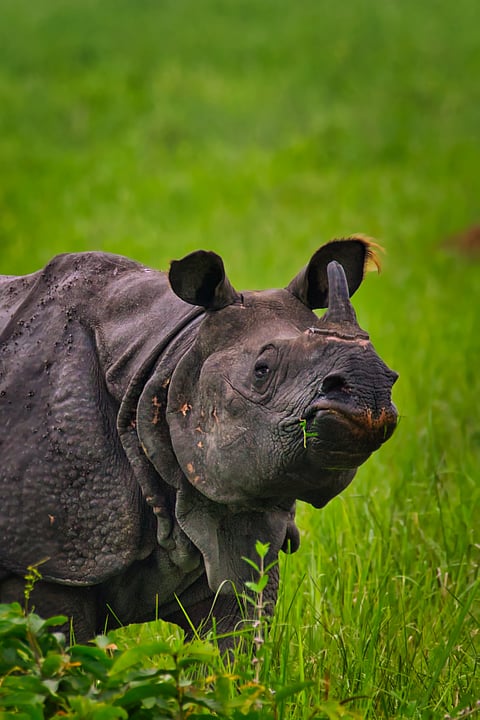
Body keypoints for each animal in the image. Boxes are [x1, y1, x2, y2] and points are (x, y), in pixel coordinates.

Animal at [0, 237, 397, 641]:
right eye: (262, 371)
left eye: (391, 374)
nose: (369, 388)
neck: (170, 355)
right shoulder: (50, 562)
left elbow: (233, 639)